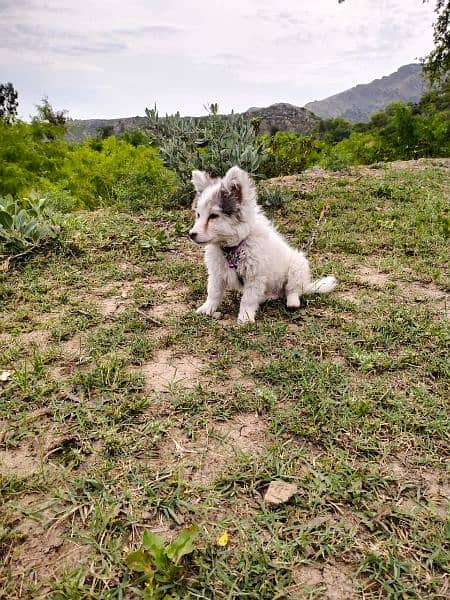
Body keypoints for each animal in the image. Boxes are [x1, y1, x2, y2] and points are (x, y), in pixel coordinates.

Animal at [188, 164, 336, 324]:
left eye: (214, 216)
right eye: (198, 215)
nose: (191, 234)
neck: (234, 248)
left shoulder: (255, 277)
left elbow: (248, 299)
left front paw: (245, 317)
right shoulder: (216, 273)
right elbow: (213, 292)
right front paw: (207, 308)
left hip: (297, 266)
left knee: (292, 290)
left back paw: (292, 302)